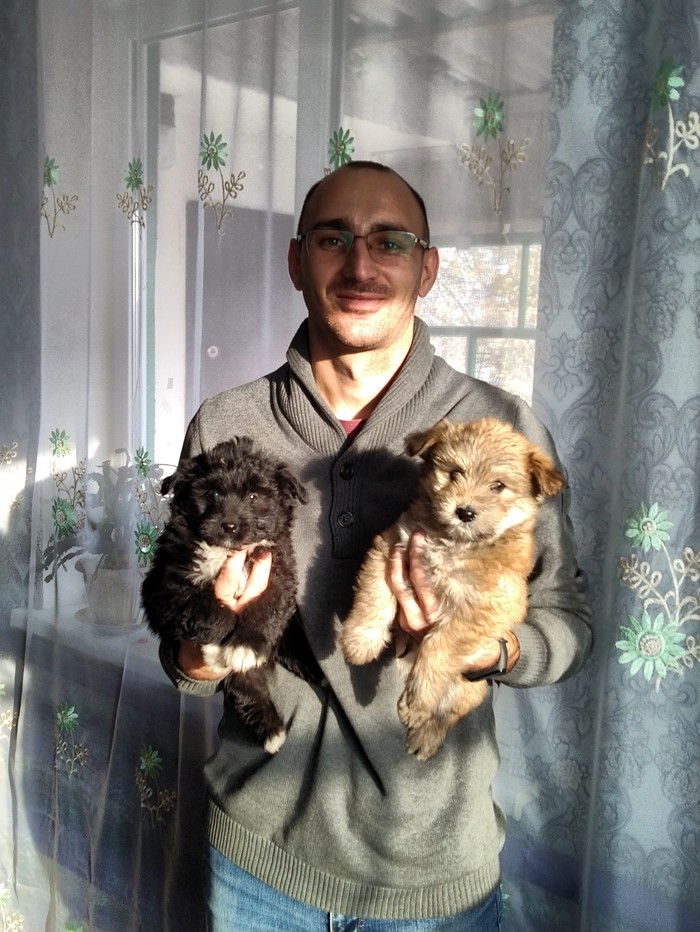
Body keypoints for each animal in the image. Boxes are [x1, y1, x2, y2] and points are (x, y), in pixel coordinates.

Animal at [142, 436, 318, 754]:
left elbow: (266, 607)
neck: (228, 552)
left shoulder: (279, 575)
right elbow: (210, 608)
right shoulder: (166, 589)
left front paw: (244, 645)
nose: (229, 525)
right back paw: (271, 729)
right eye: (211, 493)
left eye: (253, 497)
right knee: (244, 687)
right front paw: (217, 650)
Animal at [339, 417, 565, 760]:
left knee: (449, 713)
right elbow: (374, 596)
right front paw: (360, 641)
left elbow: (439, 647)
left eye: (498, 486)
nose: (465, 512)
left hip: (472, 686)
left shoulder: (481, 609)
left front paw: (417, 702)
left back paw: (425, 735)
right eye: (455, 472)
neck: (453, 543)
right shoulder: (391, 546)